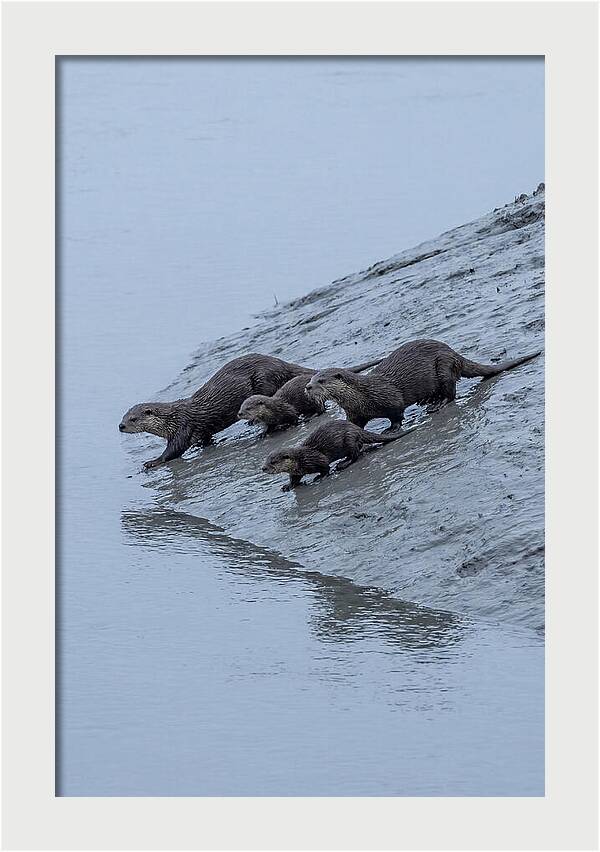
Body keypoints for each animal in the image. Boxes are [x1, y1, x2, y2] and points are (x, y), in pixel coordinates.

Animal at [237, 358, 381, 433]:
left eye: (248, 408)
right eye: (241, 407)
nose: (239, 414)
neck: (272, 410)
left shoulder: (286, 409)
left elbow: (293, 416)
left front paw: (293, 424)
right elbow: (269, 426)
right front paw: (265, 432)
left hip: (314, 399)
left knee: (321, 409)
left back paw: (310, 416)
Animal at [261, 420, 410, 491]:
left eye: (273, 462)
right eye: (266, 460)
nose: (263, 468)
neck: (301, 459)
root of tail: (356, 428)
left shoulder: (316, 458)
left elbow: (325, 467)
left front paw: (320, 477)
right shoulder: (296, 472)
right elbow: (294, 479)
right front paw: (288, 486)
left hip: (349, 439)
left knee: (355, 454)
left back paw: (343, 464)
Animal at [306, 339, 541, 430]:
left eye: (321, 380)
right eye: (311, 379)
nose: (307, 387)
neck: (362, 395)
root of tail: (455, 354)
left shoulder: (390, 398)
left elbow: (397, 414)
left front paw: (391, 429)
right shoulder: (355, 413)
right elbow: (354, 426)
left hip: (443, 366)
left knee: (451, 392)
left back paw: (437, 404)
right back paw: (429, 400)